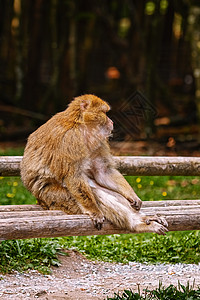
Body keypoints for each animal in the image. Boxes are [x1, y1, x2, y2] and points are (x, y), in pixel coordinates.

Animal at [20, 95, 167, 236]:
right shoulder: (70, 140)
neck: (80, 125)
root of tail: (40, 201)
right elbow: (73, 177)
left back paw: (144, 218)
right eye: (104, 113)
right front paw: (94, 211)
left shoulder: (99, 141)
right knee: (94, 194)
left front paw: (132, 196)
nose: (111, 121)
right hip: (53, 198)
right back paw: (136, 224)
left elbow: (103, 172)